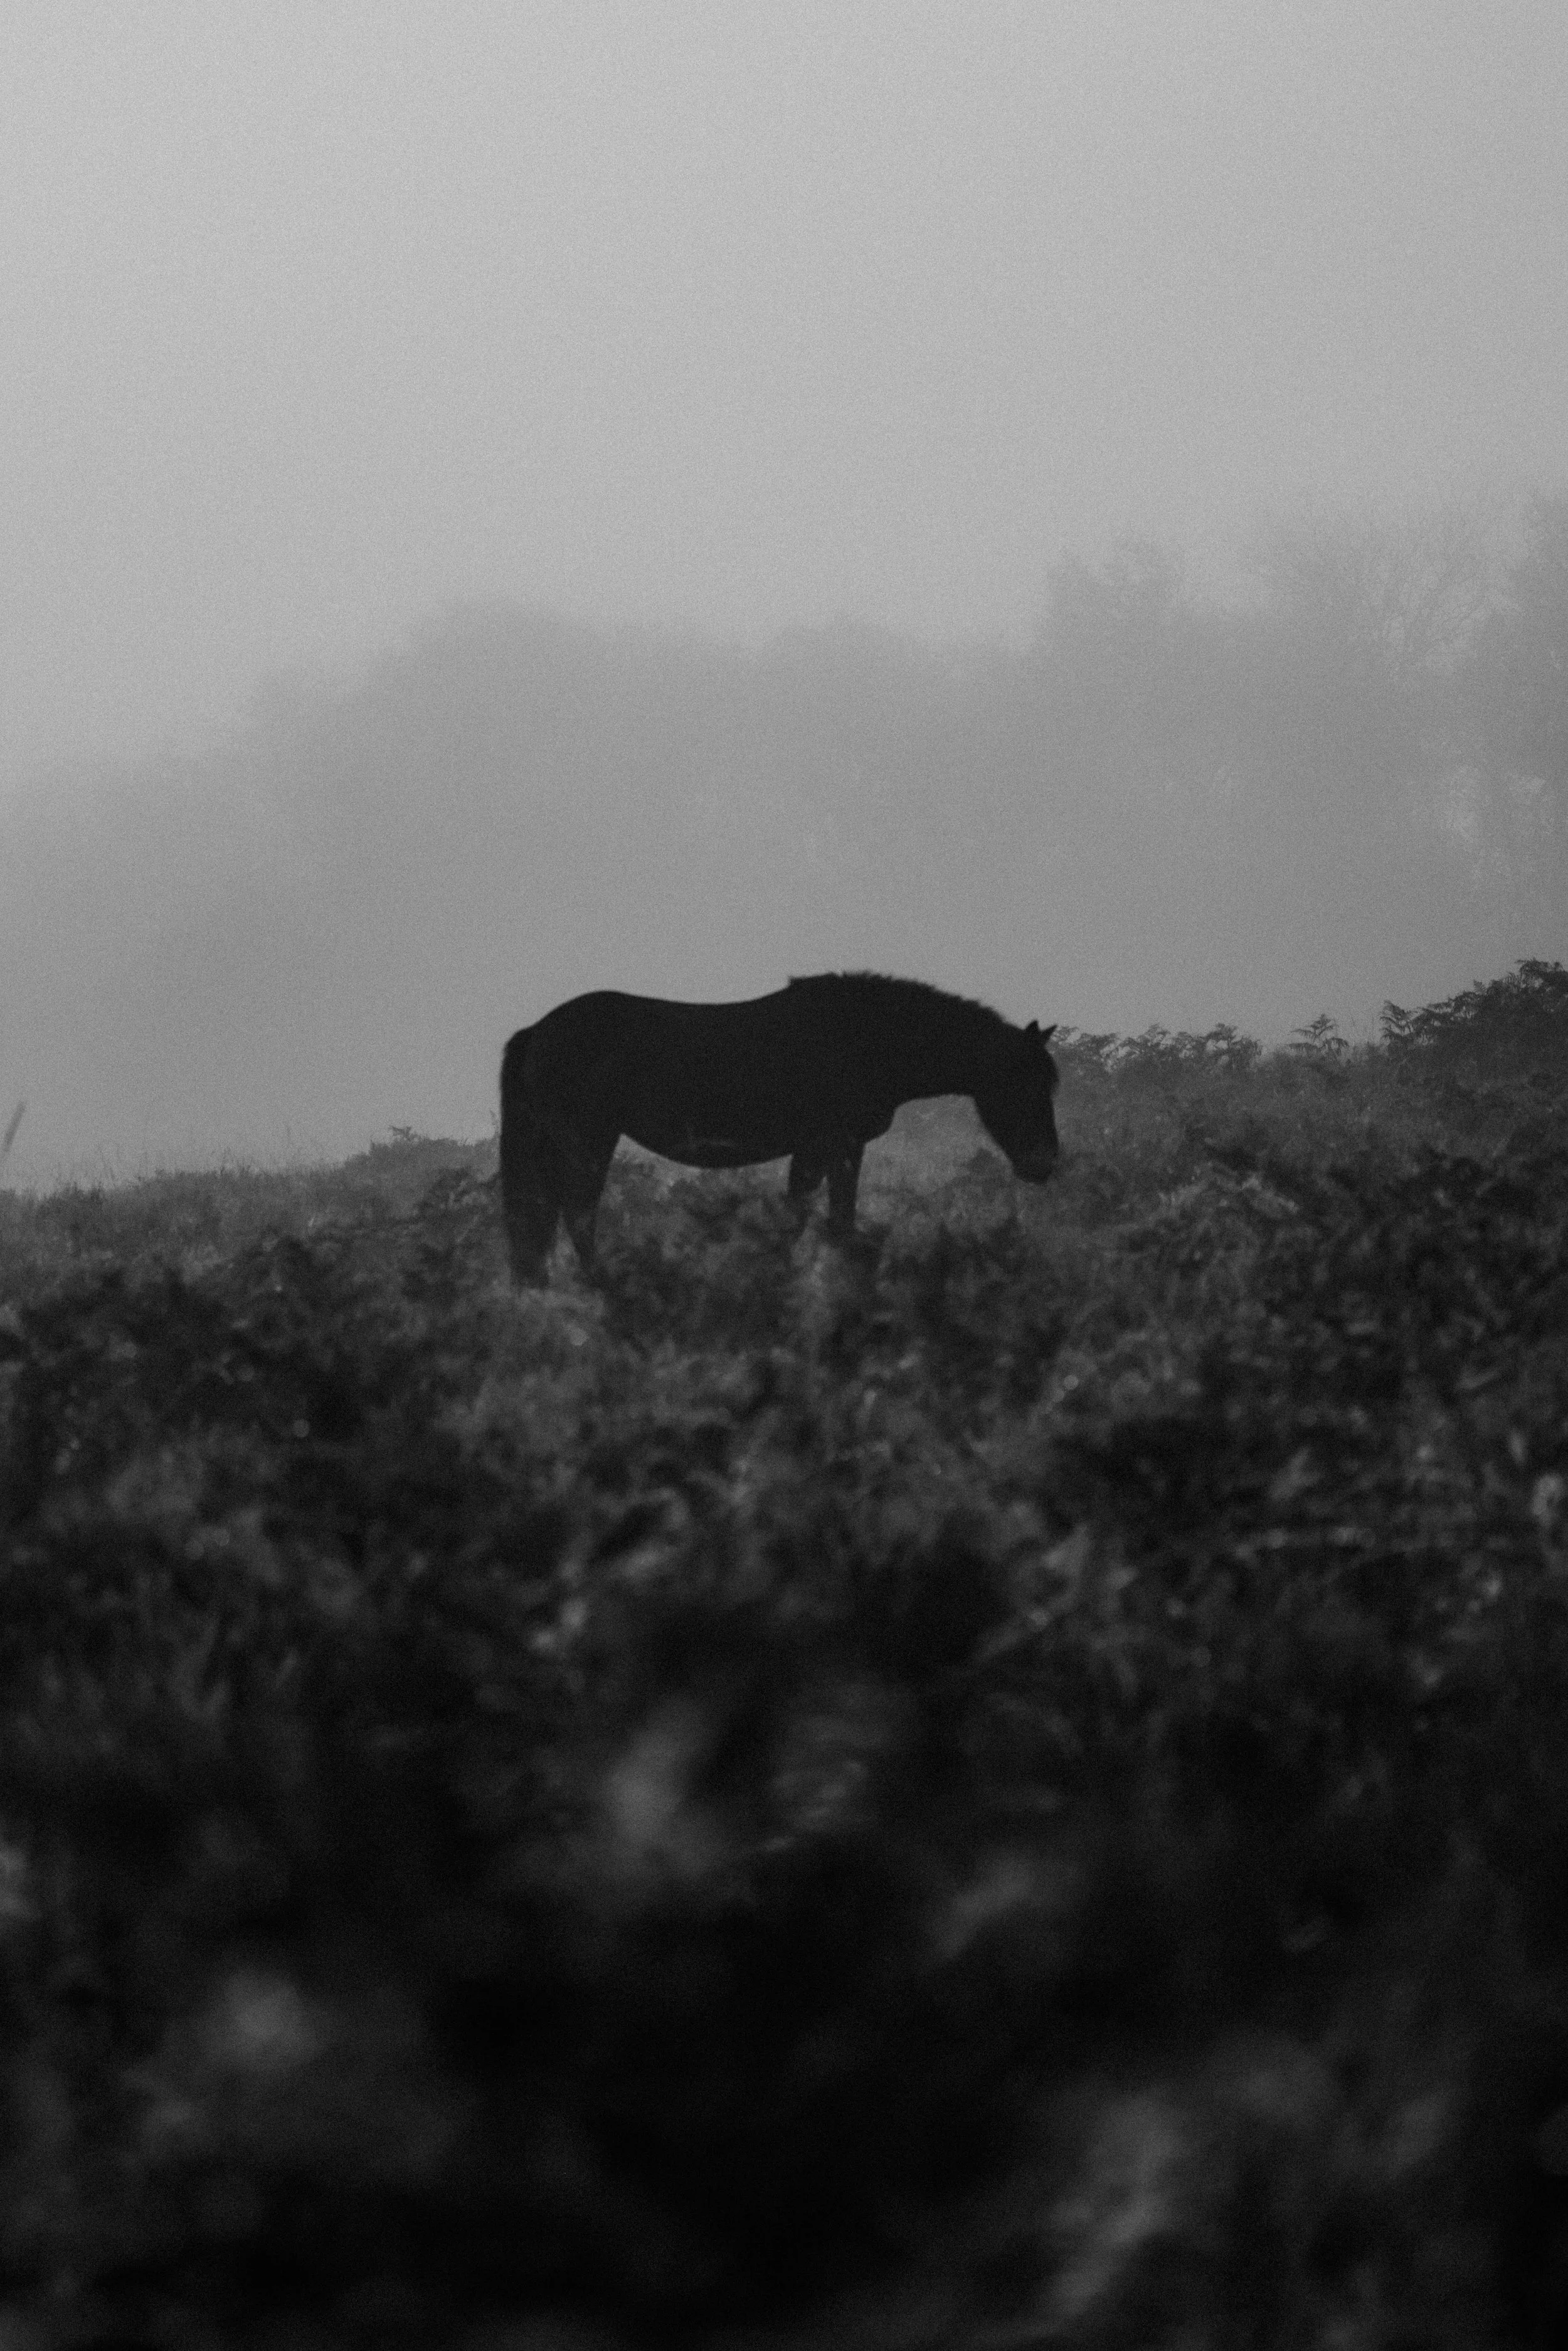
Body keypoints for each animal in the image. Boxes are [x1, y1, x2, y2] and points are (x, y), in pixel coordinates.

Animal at [498, 973, 1060, 1284]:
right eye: (1029, 1087)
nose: (1045, 1163)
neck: (871, 1036)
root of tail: (537, 1032)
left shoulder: (819, 1150)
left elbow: (802, 1219)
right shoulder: (838, 1145)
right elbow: (830, 1222)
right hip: (588, 1142)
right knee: (577, 1211)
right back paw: (602, 1282)